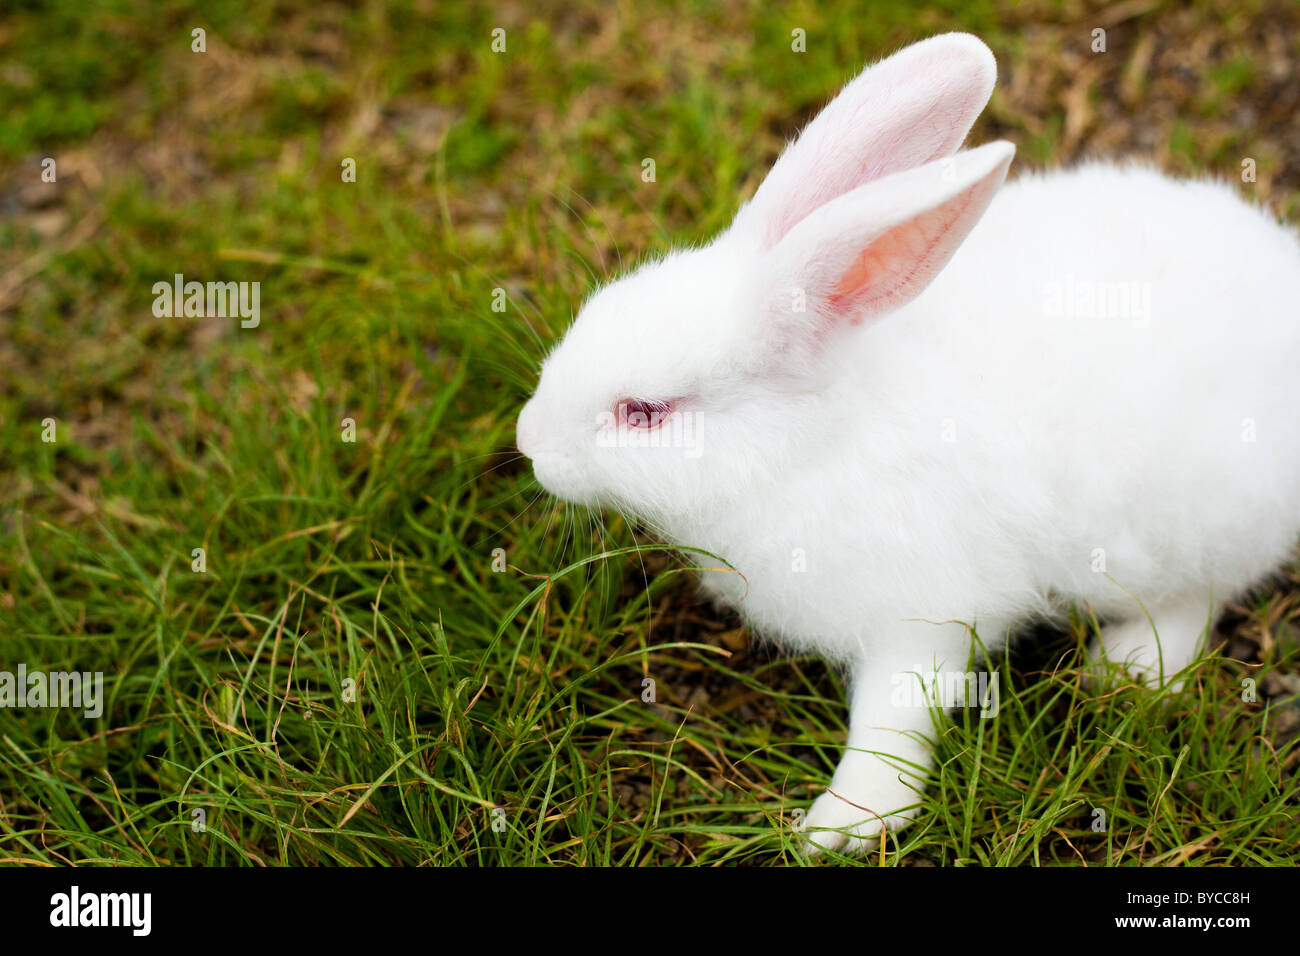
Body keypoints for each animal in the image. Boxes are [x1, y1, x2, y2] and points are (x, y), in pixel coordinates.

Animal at [514, 33, 1300, 858]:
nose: (528, 439)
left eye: (645, 412)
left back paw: (1127, 671)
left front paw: (840, 828)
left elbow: (893, 722)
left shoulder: (919, 621)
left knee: (1195, 600)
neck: (812, 443)